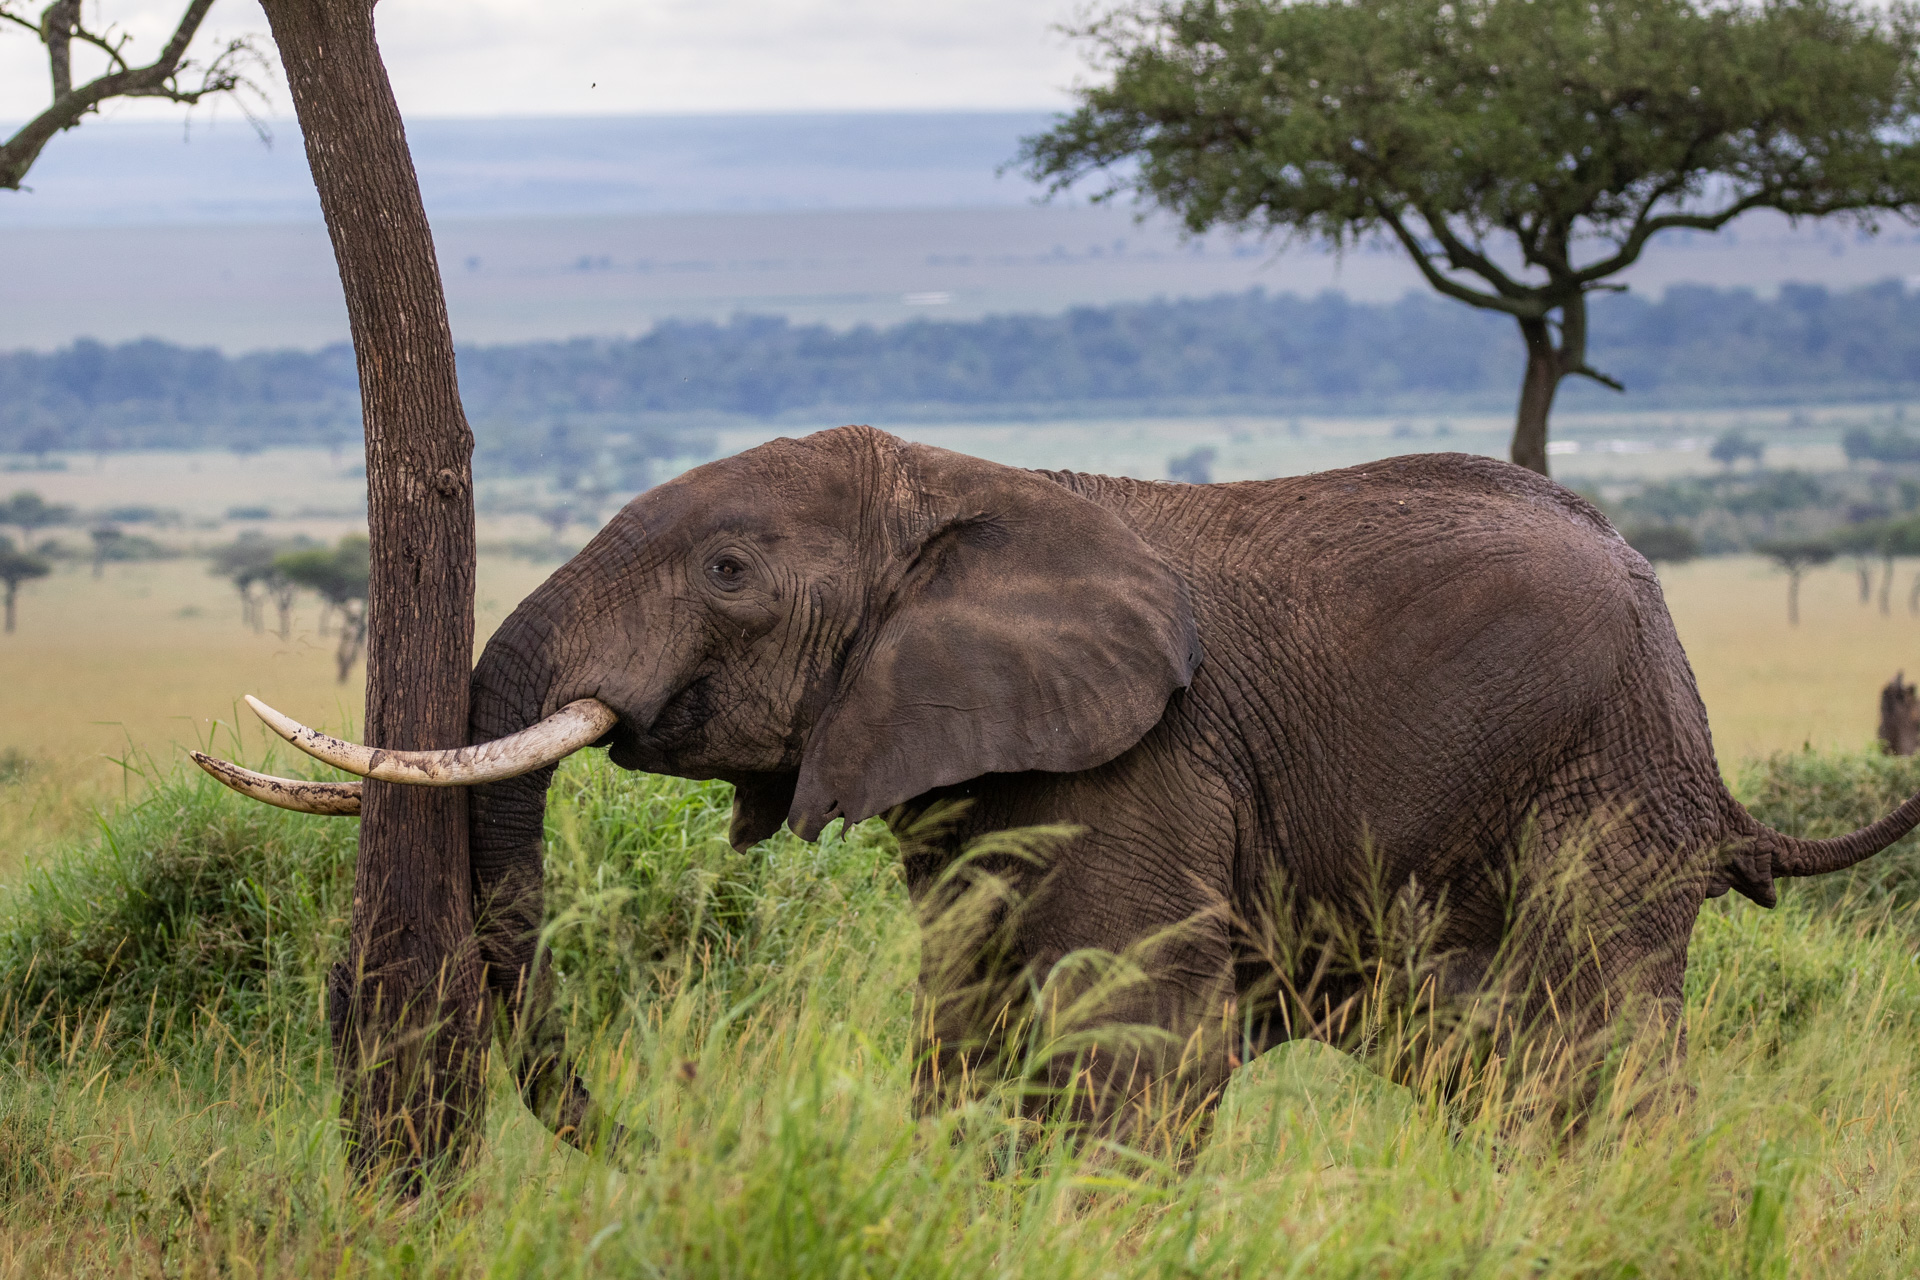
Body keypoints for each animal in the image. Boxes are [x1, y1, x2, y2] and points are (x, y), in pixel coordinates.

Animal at [194, 426, 1920, 1143]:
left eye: (731, 572)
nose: (645, 1137)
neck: (957, 482)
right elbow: (964, 1031)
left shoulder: (1150, 759)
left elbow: (1132, 1051)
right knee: (1496, 1053)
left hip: (1605, 779)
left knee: (1591, 1043)